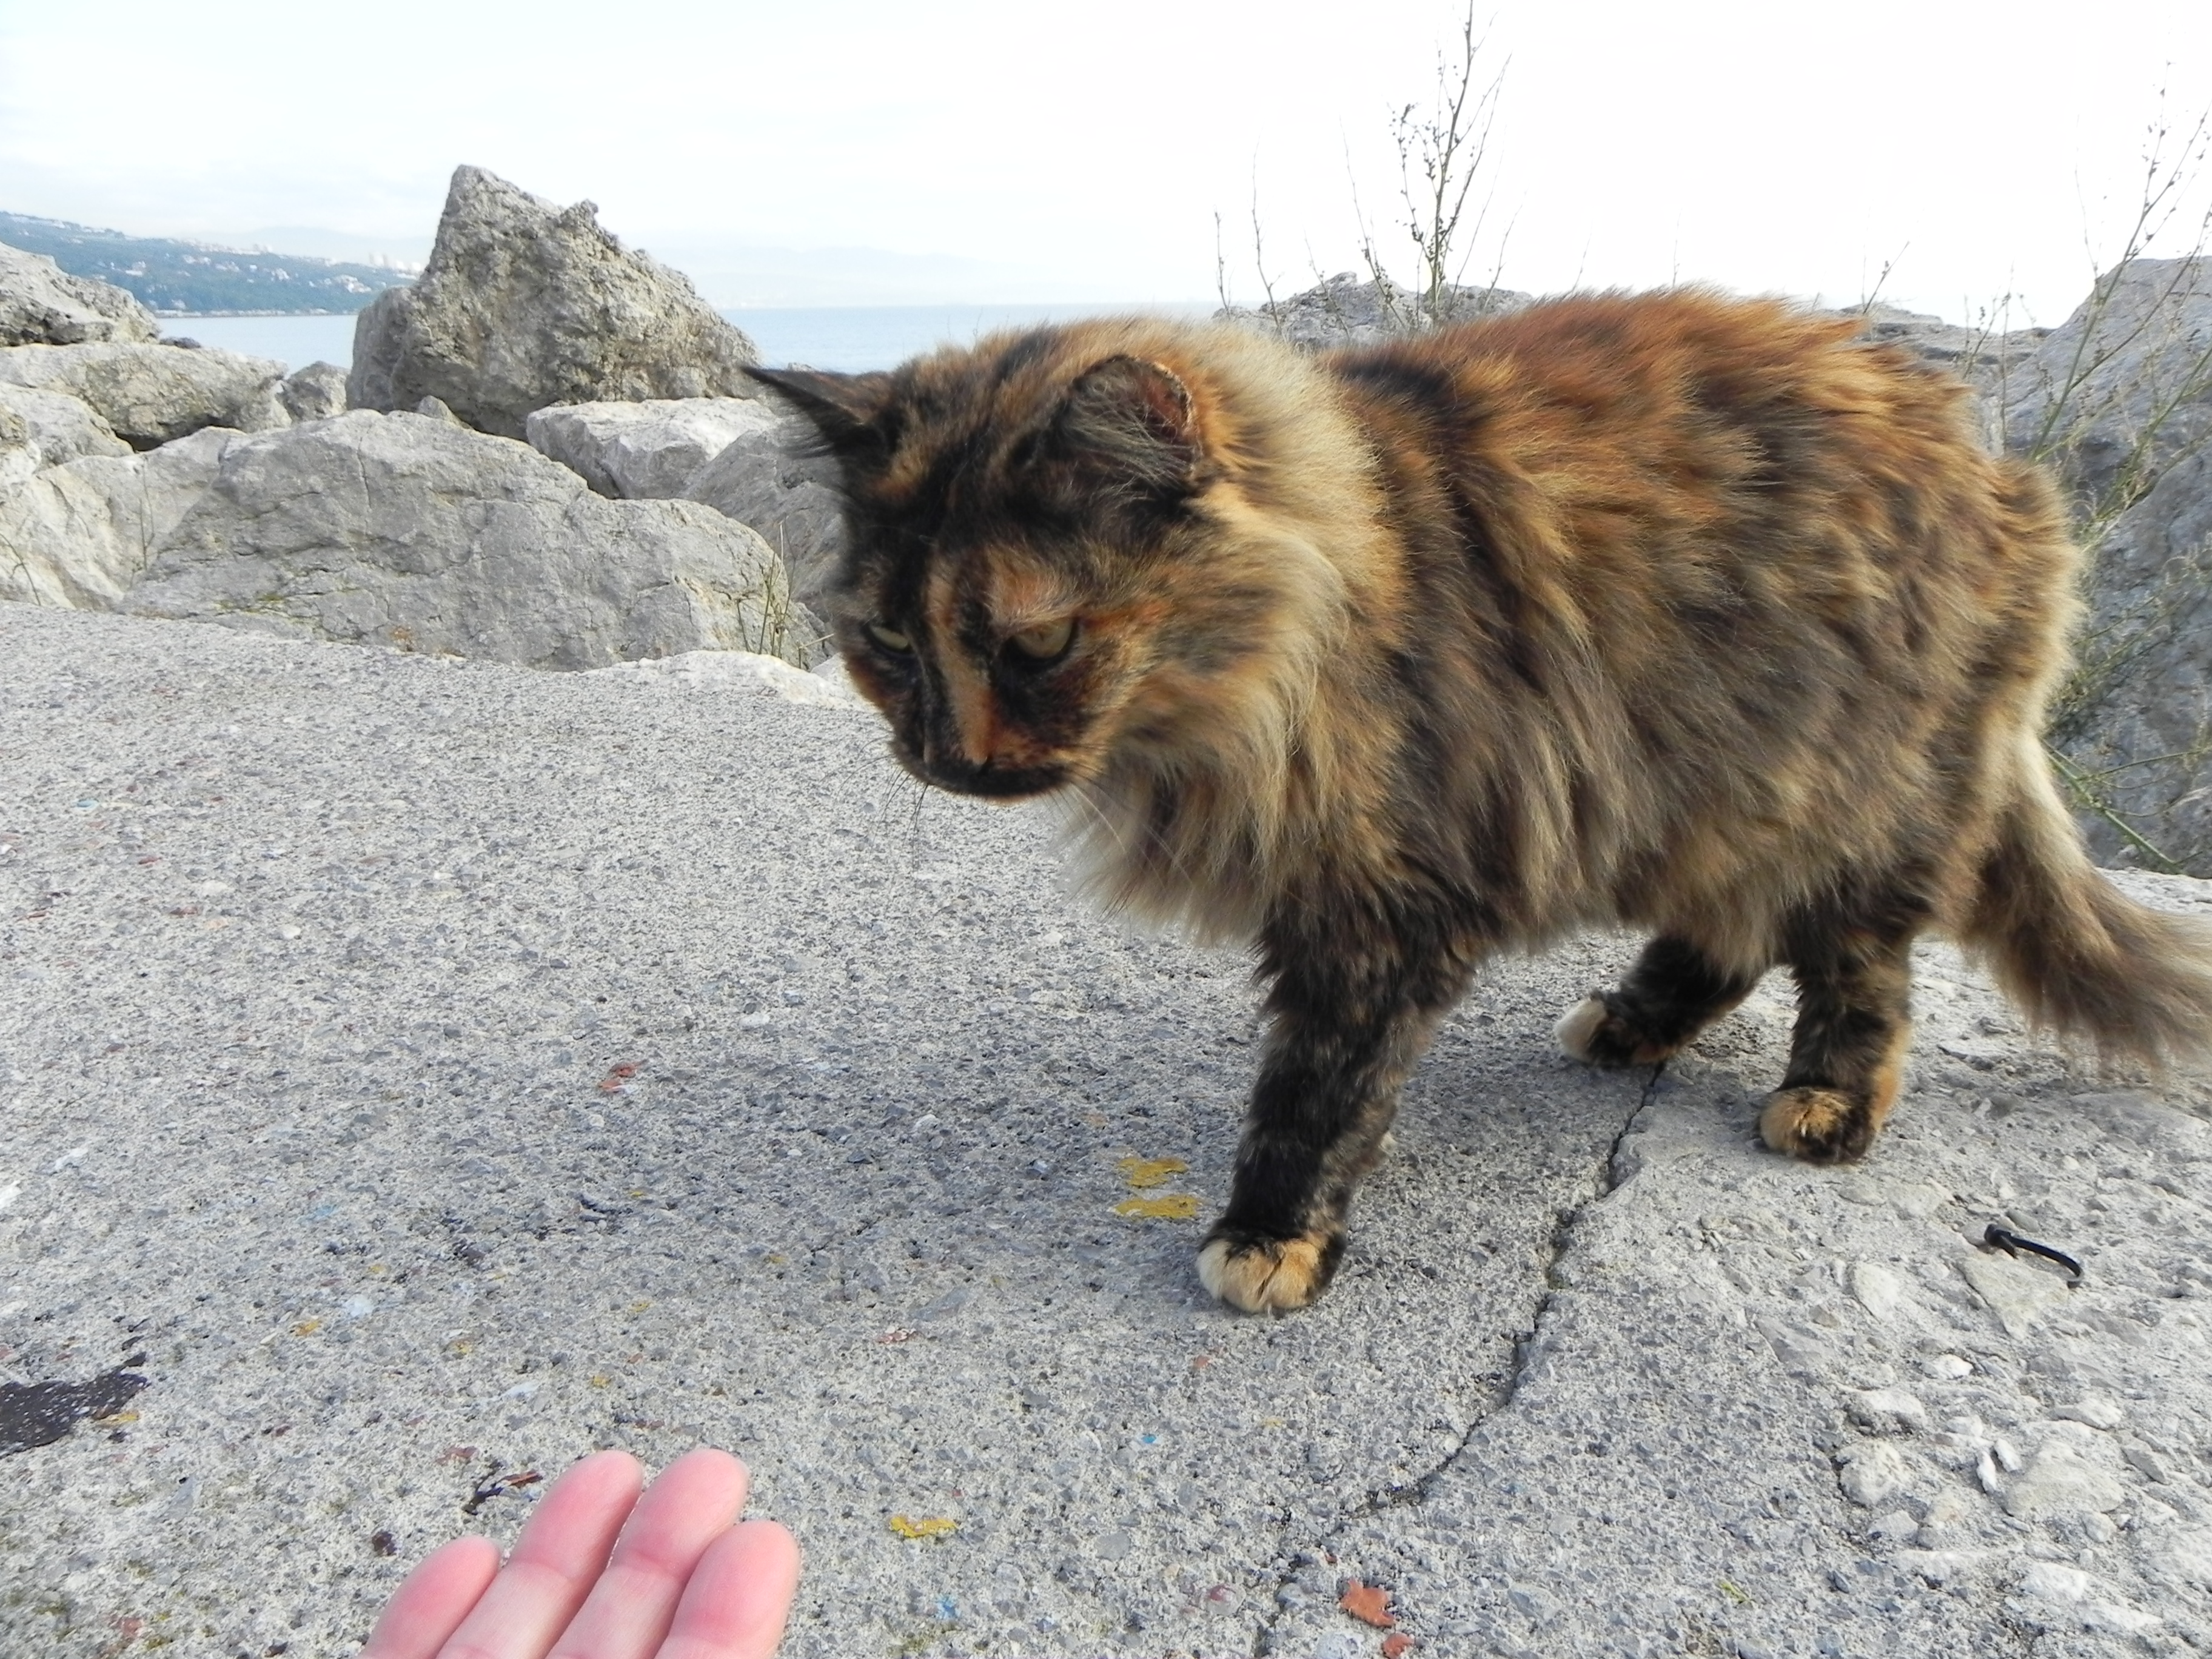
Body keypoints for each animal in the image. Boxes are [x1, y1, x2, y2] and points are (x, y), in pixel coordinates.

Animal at [748, 289, 2212, 1315]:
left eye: (1036, 645)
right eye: (886, 643)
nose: (944, 760)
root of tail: (2001, 474)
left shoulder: (1386, 900)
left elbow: (1319, 1087)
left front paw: (1270, 1234)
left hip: (1851, 781)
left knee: (1861, 966)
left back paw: (1823, 1104)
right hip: (1713, 777)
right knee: (1733, 933)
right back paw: (1630, 1020)